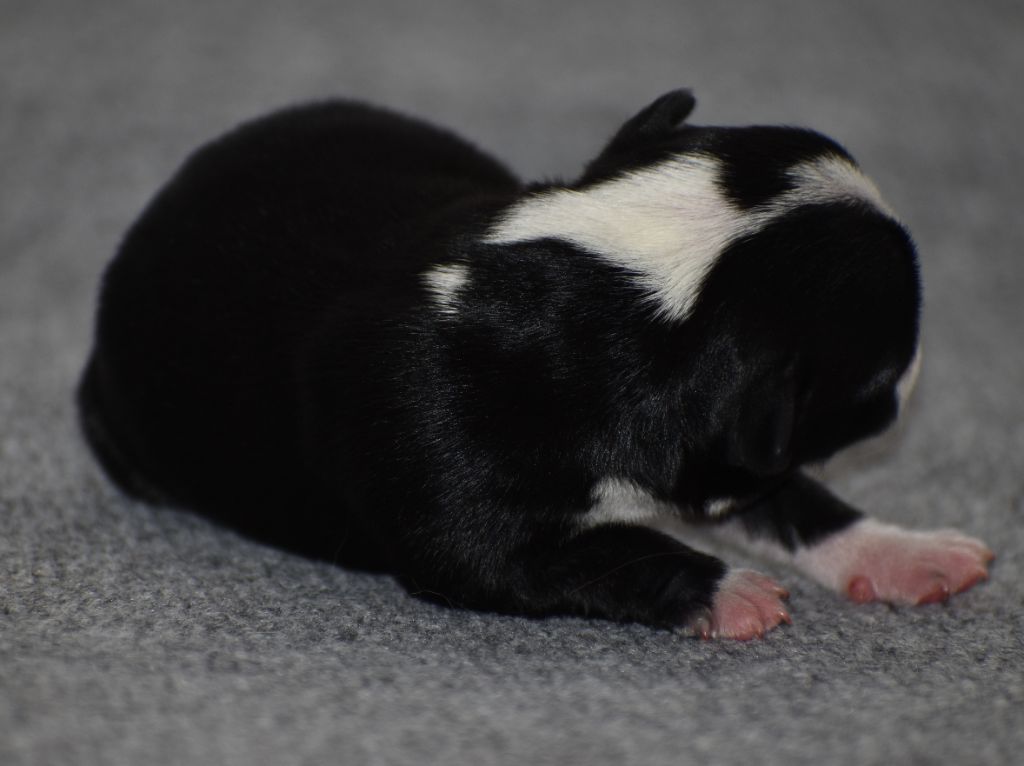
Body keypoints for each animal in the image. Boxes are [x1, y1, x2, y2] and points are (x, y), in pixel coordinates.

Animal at [77, 90, 993, 639]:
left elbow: (800, 500)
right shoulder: (469, 535)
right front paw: (729, 590)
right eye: (879, 374)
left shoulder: (721, 459)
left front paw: (908, 555)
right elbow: (608, 552)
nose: (916, 376)